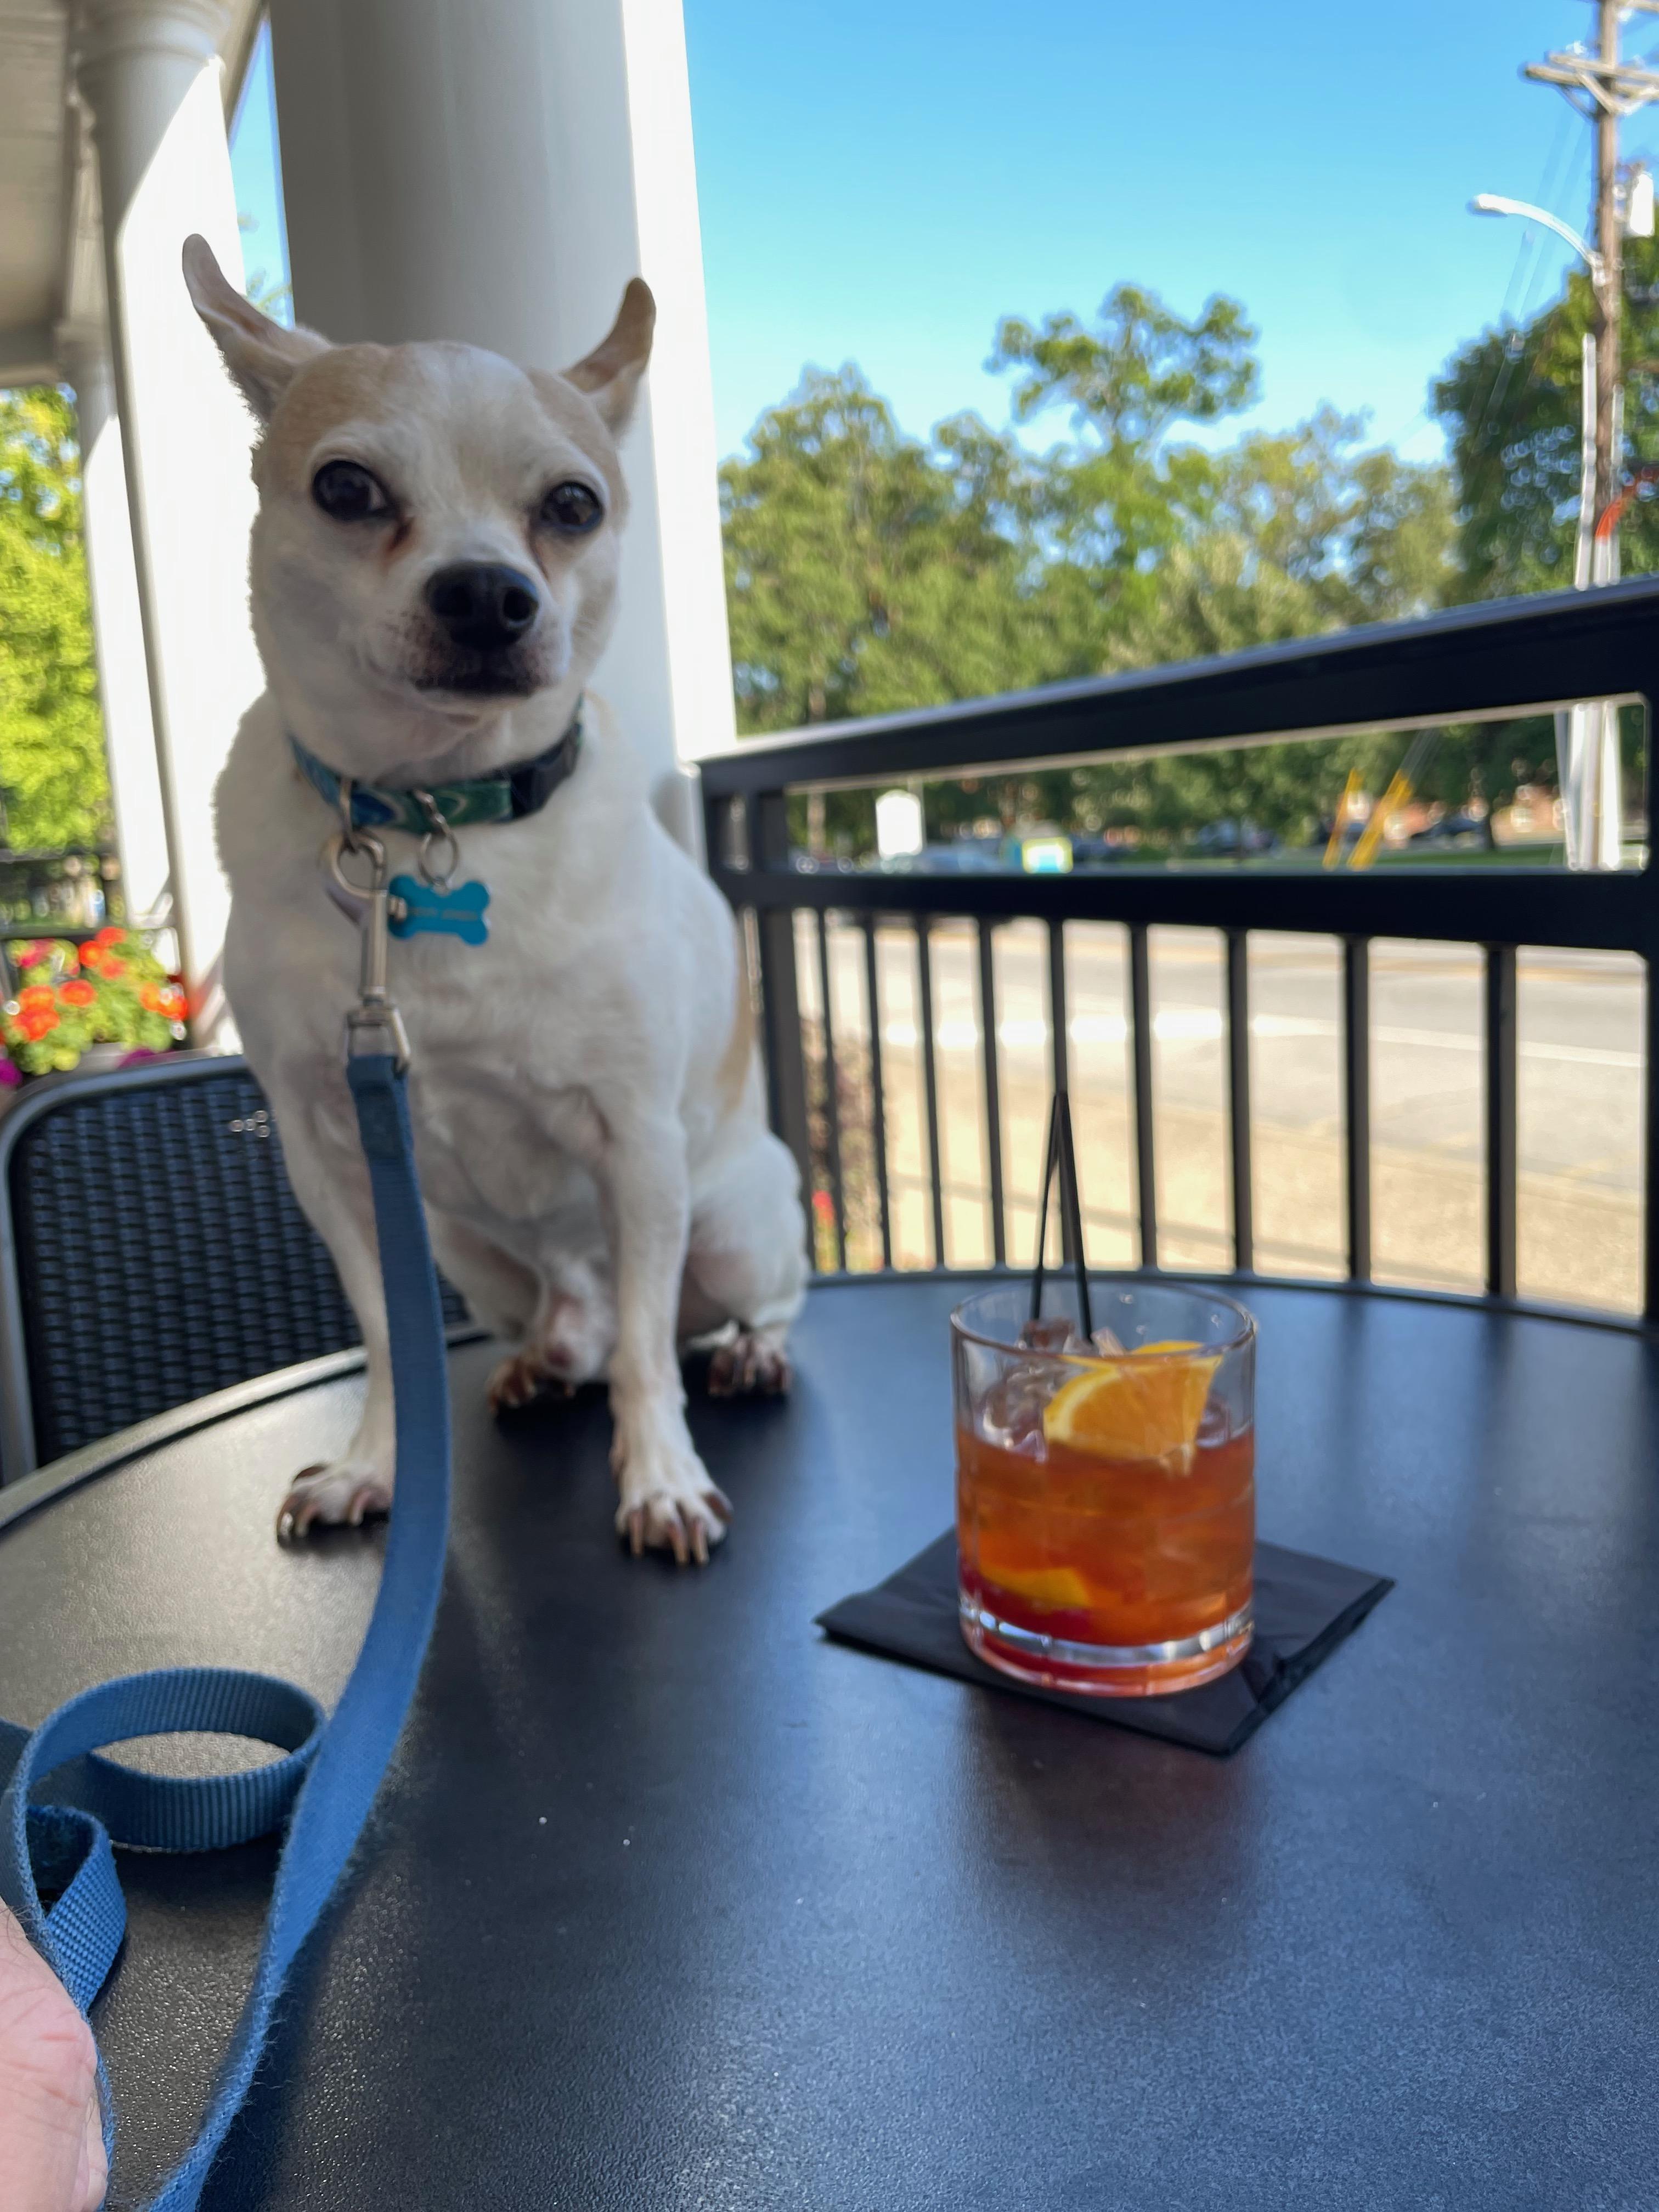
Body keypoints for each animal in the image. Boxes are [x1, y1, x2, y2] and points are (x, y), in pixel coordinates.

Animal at [181, 238, 805, 1557]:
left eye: (573, 506)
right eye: (346, 488)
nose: (485, 593)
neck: (431, 815)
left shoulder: (639, 1150)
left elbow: (647, 1360)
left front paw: (659, 1478)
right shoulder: (335, 1164)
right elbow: (387, 1338)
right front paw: (377, 1465)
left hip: (728, 1226)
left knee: (708, 1315)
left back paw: (745, 1355)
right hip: (474, 1253)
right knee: (580, 1326)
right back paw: (538, 1361)